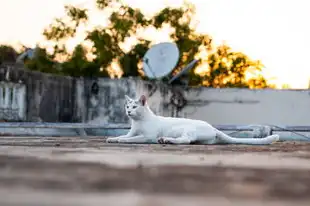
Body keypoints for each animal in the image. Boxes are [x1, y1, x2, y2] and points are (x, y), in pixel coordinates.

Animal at [106, 95, 278, 145]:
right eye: (127, 106)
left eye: (135, 106)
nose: (128, 111)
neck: (138, 121)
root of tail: (213, 127)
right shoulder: (131, 132)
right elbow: (124, 135)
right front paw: (113, 138)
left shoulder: (147, 137)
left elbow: (131, 139)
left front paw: (121, 141)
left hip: (186, 129)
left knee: (186, 140)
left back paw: (166, 140)